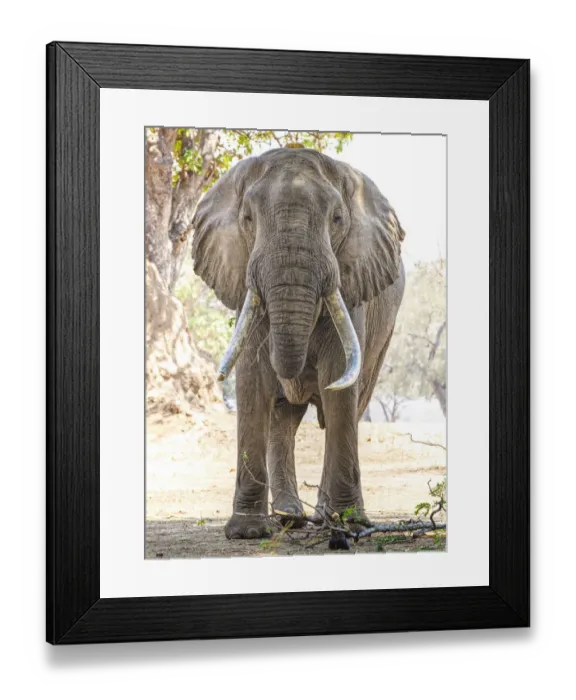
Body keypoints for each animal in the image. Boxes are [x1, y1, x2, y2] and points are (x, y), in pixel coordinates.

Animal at [191, 147, 406, 543]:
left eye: (337, 219)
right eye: (247, 218)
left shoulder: (352, 282)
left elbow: (339, 383)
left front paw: (350, 524)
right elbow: (252, 379)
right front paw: (247, 532)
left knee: (351, 405)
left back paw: (324, 518)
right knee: (284, 418)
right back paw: (289, 517)